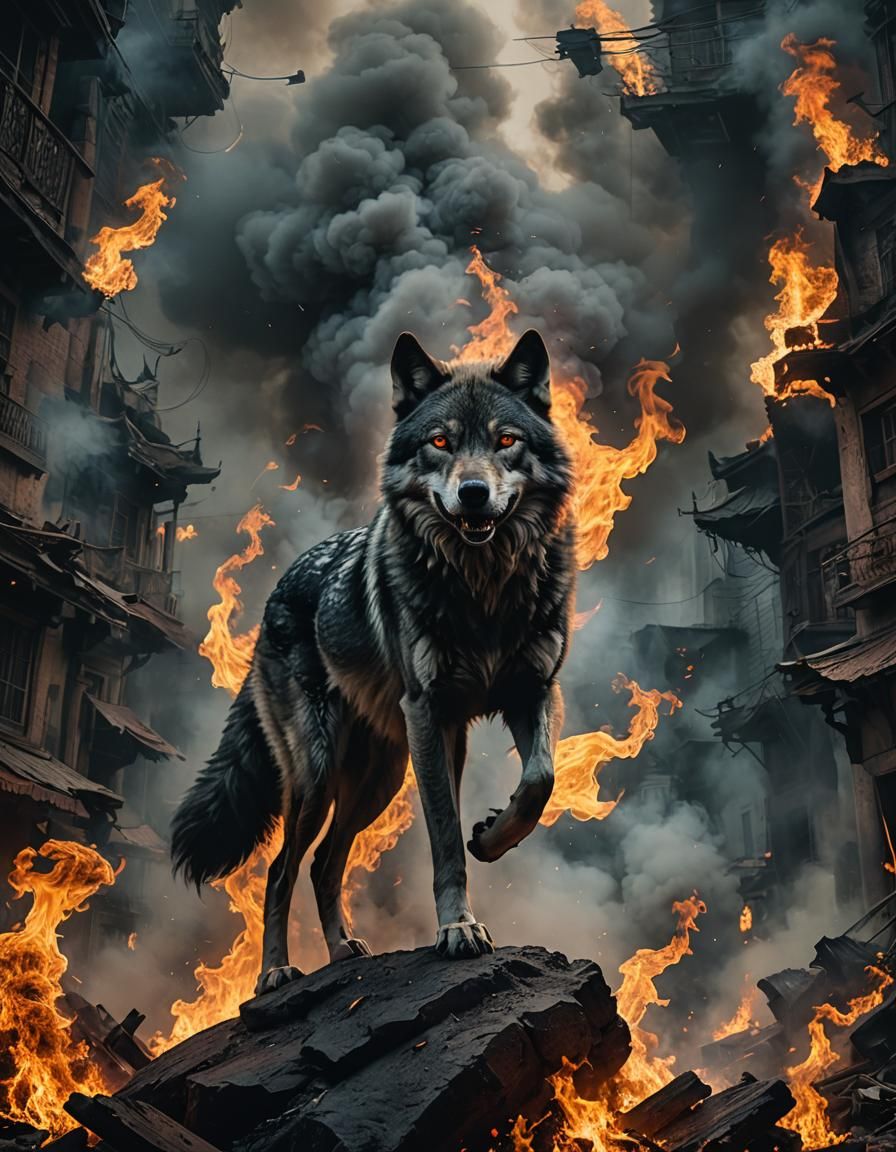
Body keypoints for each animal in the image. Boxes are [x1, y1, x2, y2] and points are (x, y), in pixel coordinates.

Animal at [171, 328, 576, 994]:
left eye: (505, 441)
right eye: (440, 442)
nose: (473, 494)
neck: (483, 588)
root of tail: (274, 599)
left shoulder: (531, 691)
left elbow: (539, 781)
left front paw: (491, 838)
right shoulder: (431, 717)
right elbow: (444, 839)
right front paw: (458, 928)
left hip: (378, 779)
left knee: (324, 864)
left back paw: (342, 952)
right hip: (317, 777)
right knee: (282, 870)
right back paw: (276, 971)